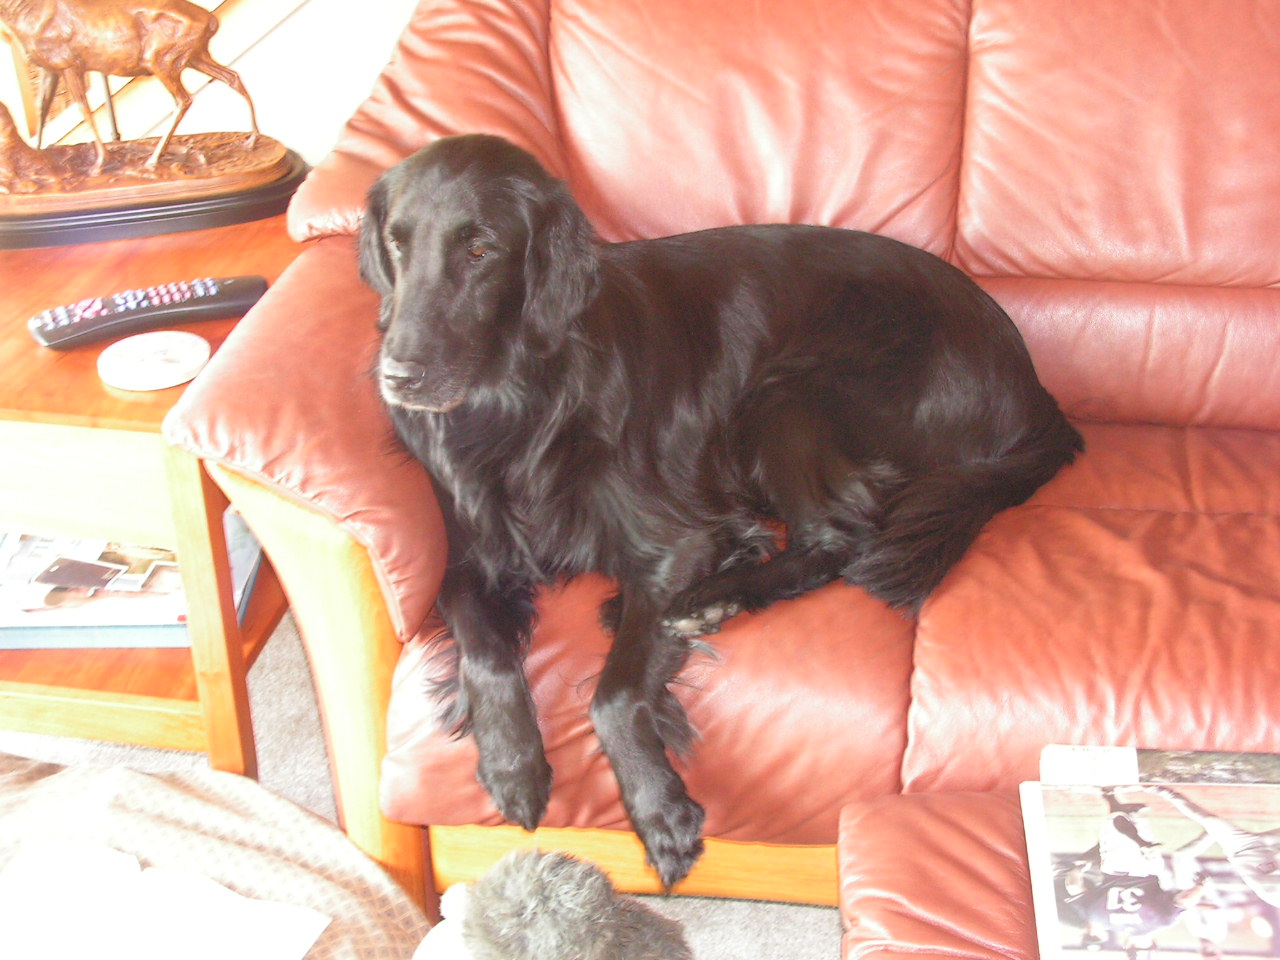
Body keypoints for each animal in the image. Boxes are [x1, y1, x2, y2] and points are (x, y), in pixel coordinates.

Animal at [360, 134, 1083, 888]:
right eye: (397, 244)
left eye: (480, 250)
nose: (398, 376)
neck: (521, 406)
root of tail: (1036, 393)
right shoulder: (469, 552)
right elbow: (483, 648)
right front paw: (512, 765)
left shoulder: (677, 540)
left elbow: (612, 693)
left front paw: (660, 810)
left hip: (787, 390)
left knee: (841, 538)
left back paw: (704, 601)